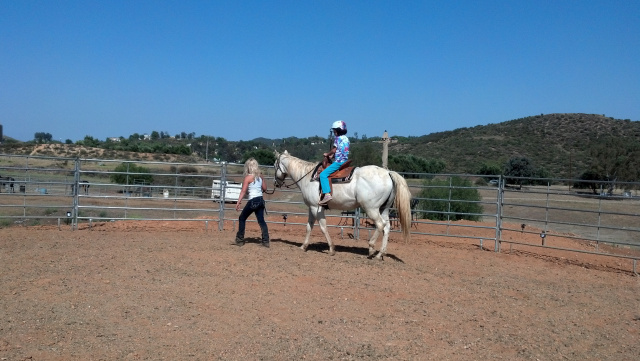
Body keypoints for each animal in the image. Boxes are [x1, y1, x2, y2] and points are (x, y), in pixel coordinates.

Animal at [274, 150, 412, 258]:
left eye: (275, 165)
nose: (276, 183)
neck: (308, 177)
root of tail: (388, 173)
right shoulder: (311, 208)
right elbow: (309, 226)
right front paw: (303, 246)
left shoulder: (316, 207)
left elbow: (323, 227)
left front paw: (331, 249)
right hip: (384, 208)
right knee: (387, 227)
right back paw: (380, 254)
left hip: (371, 208)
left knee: (380, 225)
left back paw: (372, 248)